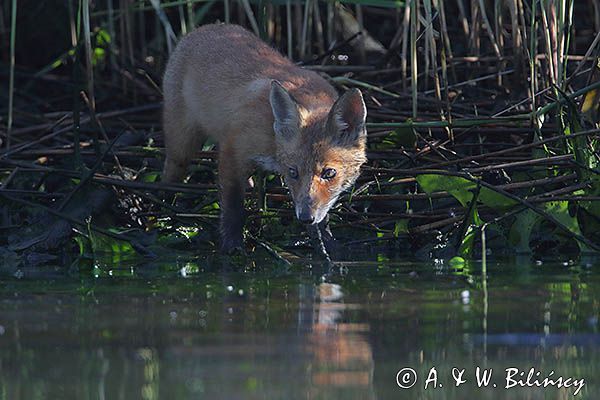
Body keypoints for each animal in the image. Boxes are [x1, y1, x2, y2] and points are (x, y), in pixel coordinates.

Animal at [162, 23, 366, 252]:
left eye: (329, 173)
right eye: (293, 172)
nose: (305, 217)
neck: (273, 139)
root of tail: (205, 28)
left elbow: (322, 220)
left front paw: (328, 246)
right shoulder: (233, 149)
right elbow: (233, 206)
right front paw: (232, 244)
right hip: (181, 145)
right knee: (172, 170)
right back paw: (165, 204)